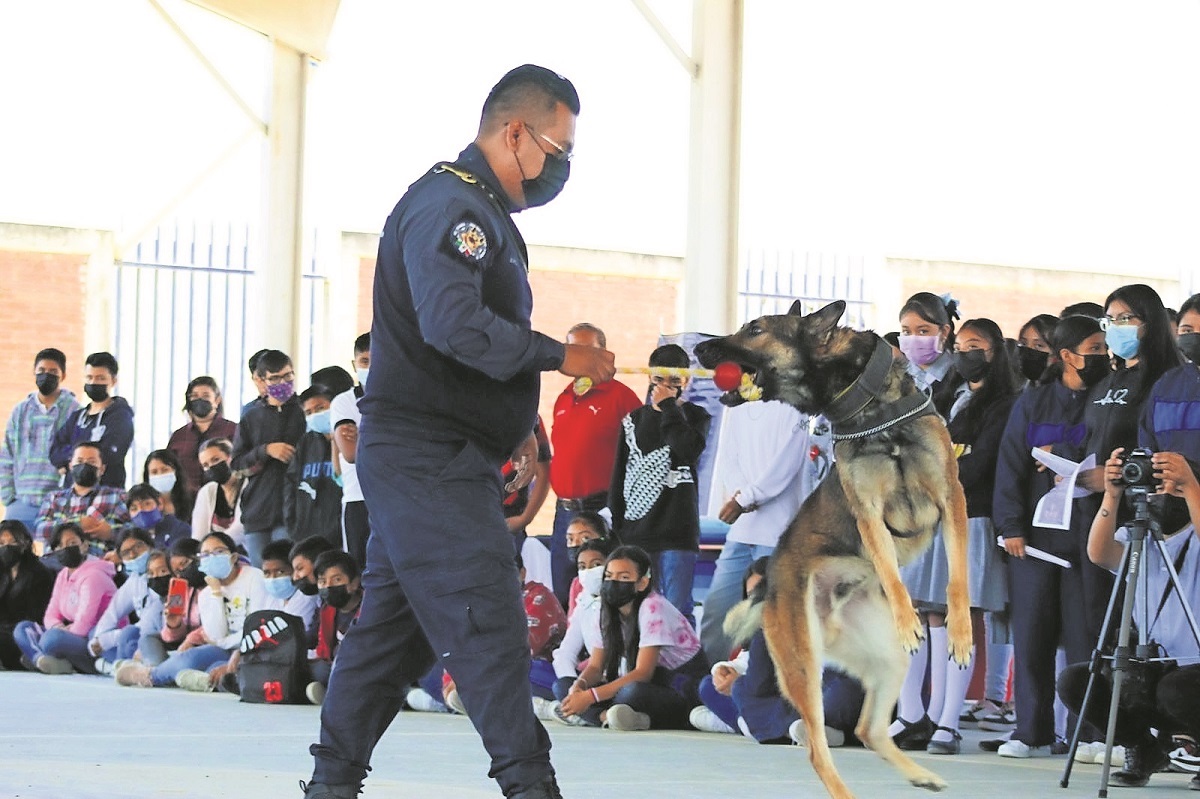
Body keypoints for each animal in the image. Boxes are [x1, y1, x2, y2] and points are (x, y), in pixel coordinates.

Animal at [696, 299, 974, 796]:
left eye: (755, 329)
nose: (700, 348)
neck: (870, 409)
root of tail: (769, 585)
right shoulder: (869, 513)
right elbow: (890, 570)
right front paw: (908, 617)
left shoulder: (951, 499)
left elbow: (957, 578)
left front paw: (960, 633)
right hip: (805, 664)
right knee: (818, 750)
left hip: (883, 659)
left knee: (867, 730)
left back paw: (920, 774)